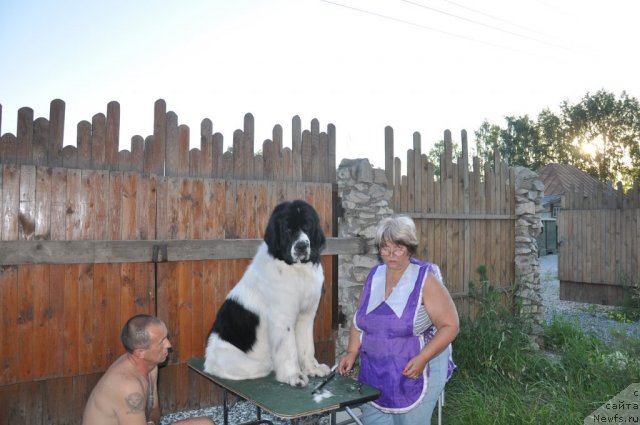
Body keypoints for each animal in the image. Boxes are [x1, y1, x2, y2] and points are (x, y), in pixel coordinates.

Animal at [204, 200, 330, 386]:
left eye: (307, 226)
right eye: (287, 229)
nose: (302, 246)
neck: (296, 269)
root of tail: (208, 362)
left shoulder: (306, 316)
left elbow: (307, 346)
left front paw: (312, 368)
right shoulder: (282, 318)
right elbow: (289, 348)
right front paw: (294, 375)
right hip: (245, 362)